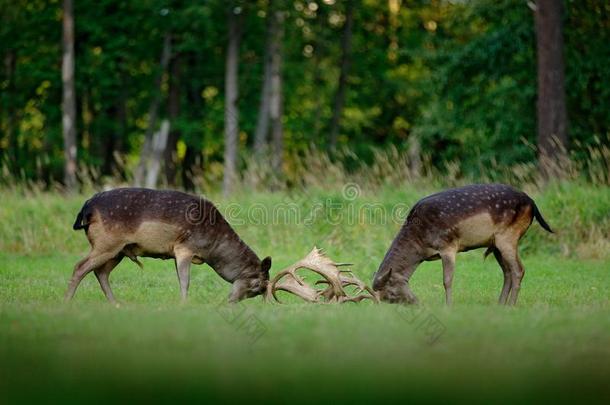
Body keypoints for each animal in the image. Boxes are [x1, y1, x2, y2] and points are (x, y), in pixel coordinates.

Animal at [66, 188, 270, 302]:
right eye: (257, 285)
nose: (231, 301)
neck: (211, 249)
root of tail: (87, 207)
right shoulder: (184, 247)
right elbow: (185, 281)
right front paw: (184, 304)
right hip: (107, 242)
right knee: (80, 266)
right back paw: (67, 302)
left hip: (119, 251)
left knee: (100, 272)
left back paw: (115, 303)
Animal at [370, 183, 552, 304]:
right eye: (389, 299)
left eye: (391, 294)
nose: (415, 302)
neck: (421, 244)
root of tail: (532, 203)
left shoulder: (448, 245)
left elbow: (447, 280)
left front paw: (448, 307)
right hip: (496, 244)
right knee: (507, 271)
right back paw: (500, 304)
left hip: (509, 236)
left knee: (518, 270)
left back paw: (510, 306)